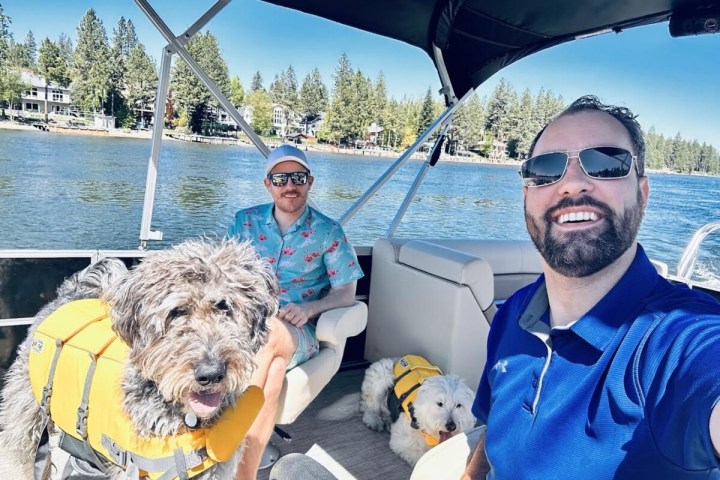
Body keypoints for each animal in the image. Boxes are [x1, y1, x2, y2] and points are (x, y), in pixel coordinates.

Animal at [0, 239, 278, 480]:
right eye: (177, 312)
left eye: (224, 306)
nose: (211, 373)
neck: (185, 419)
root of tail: (73, 293)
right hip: (26, 415)